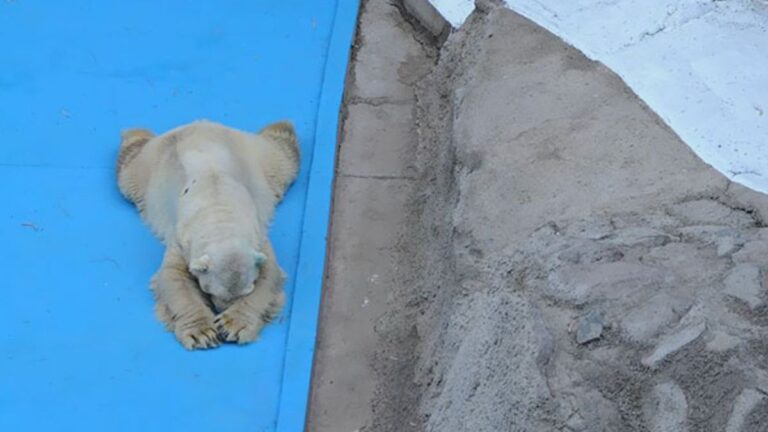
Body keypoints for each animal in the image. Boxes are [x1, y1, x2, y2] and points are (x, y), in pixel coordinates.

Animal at [116, 120, 299, 350]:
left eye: (246, 290)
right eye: (210, 291)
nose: (220, 309)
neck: (219, 214)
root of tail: (199, 124)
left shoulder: (257, 237)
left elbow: (270, 274)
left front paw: (232, 325)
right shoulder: (182, 239)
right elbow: (173, 278)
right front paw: (202, 333)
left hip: (255, 158)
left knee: (282, 158)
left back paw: (282, 127)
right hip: (148, 167)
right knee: (129, 169)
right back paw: (133, 135)